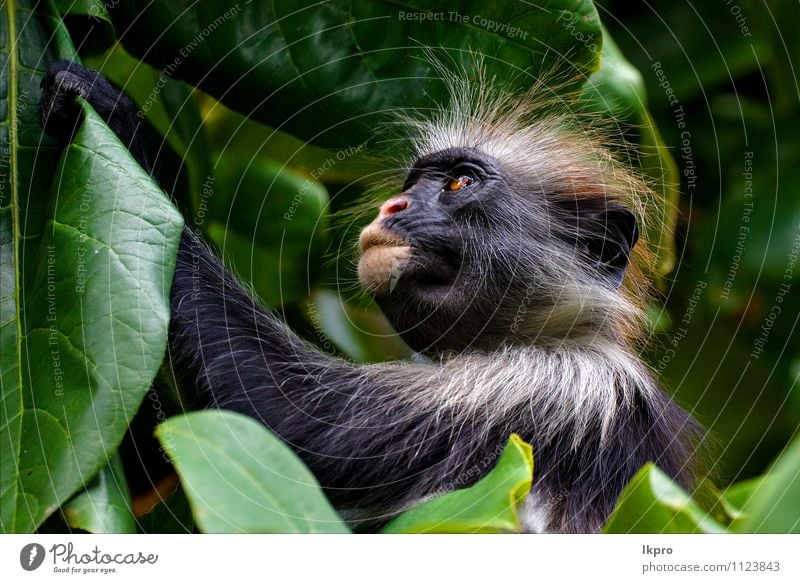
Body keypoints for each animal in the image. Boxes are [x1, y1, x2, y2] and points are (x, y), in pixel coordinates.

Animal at [40, 59, 704, 532]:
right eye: (416, 181)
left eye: (460, 183)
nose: (394, 205)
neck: (561, 333)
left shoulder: (545, 390)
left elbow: (290, 423)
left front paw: (124, 129)